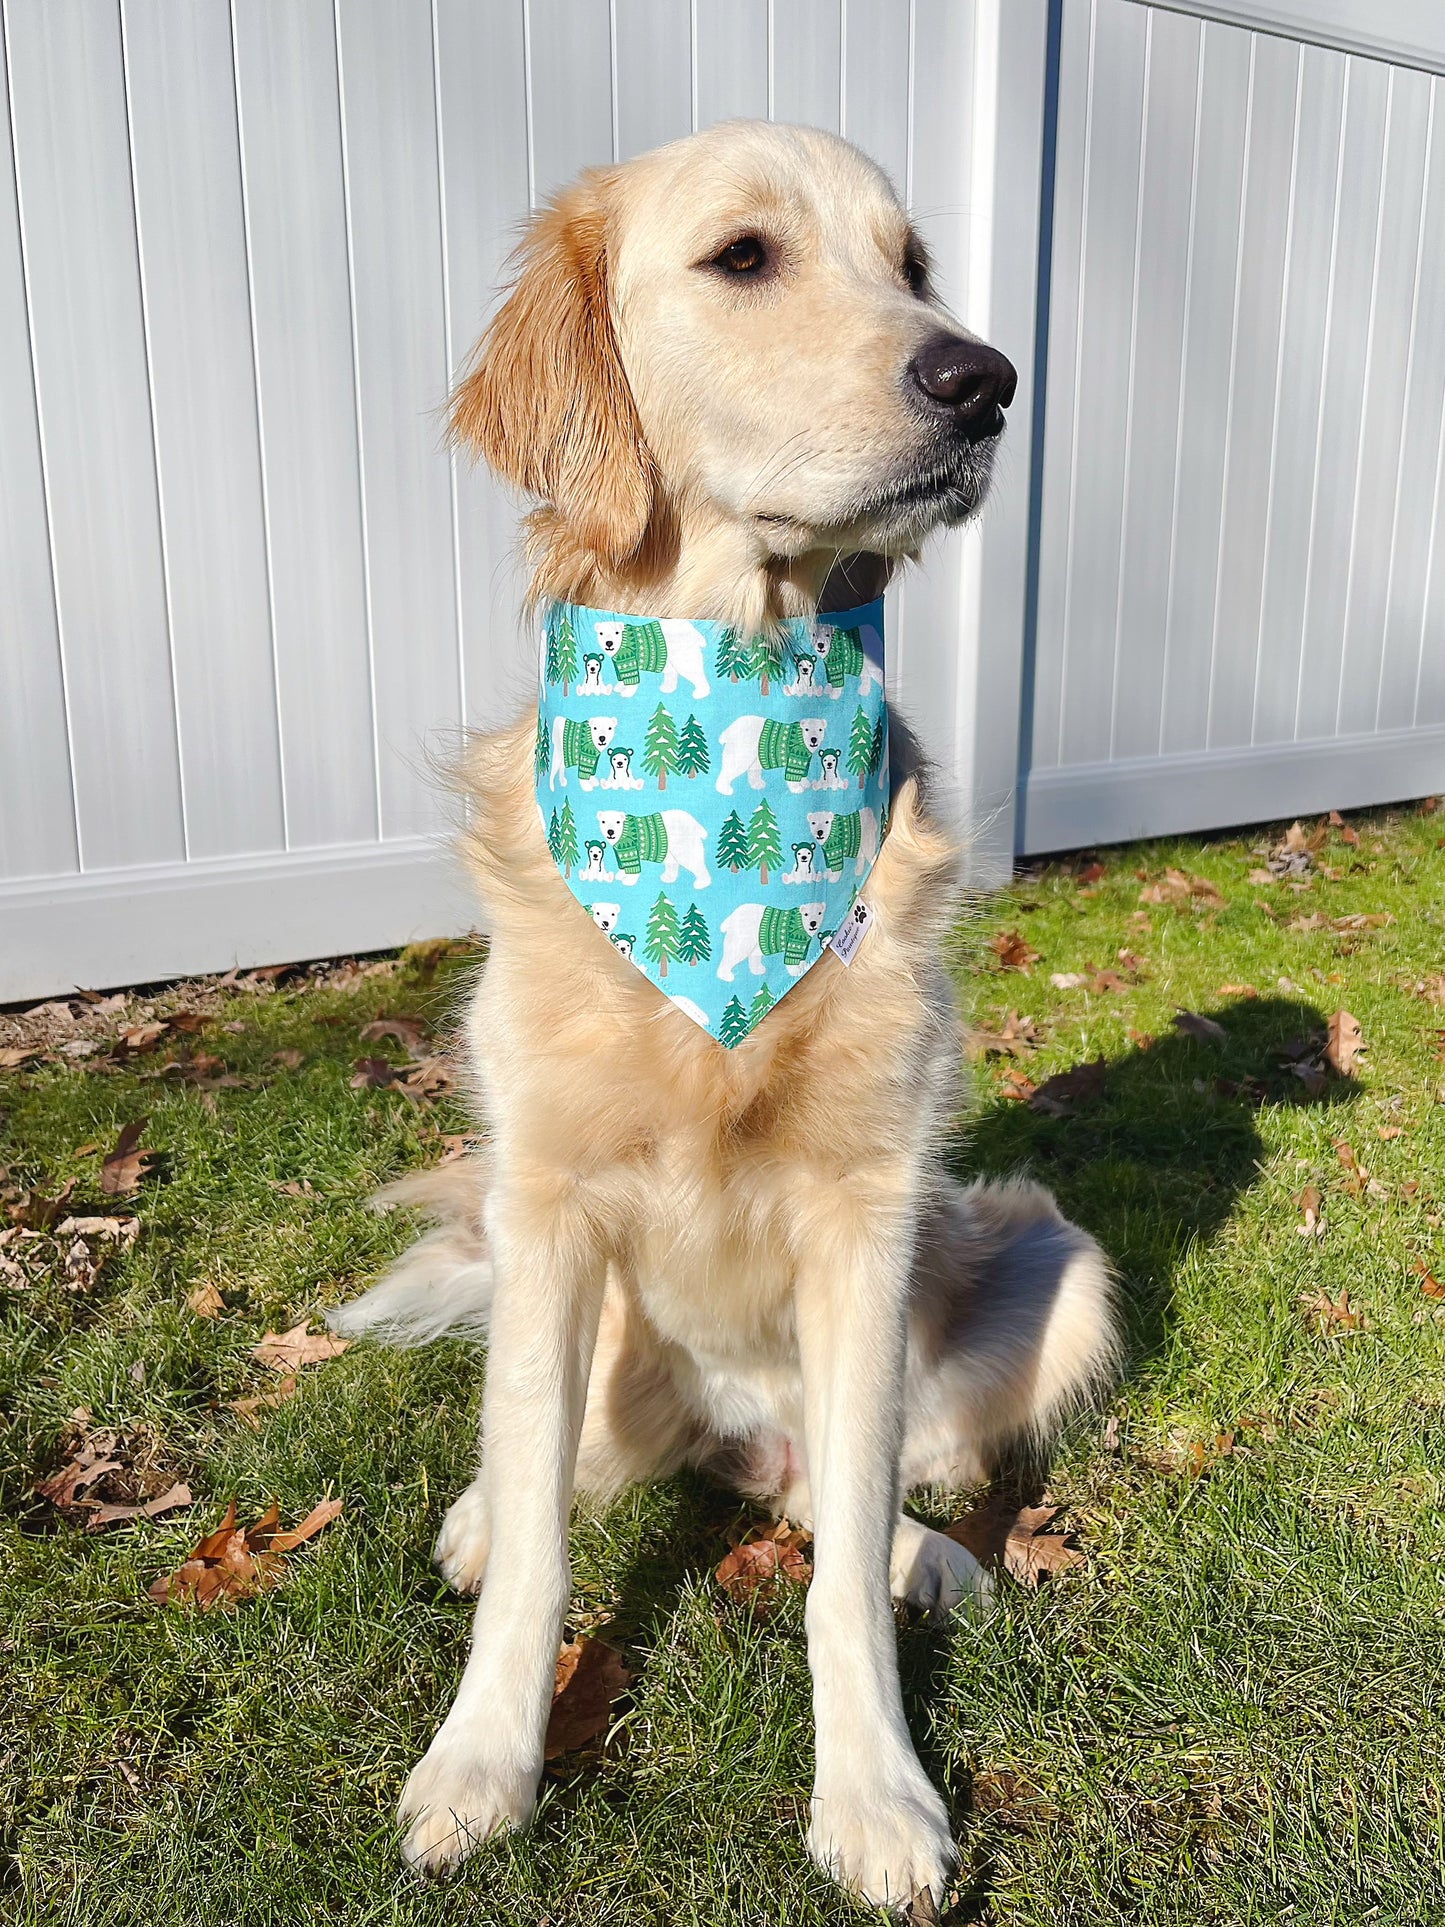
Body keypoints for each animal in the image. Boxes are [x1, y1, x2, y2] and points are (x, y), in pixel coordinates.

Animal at [337, 124, 1117, 1911]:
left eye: (914, 265)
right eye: (744, 258)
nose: (983, 379)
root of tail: (729, 1438)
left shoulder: (870, 1208)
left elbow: (832, 1584)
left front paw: (877, 1792)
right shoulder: (548, 1203)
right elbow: (541, 1552)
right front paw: (481, 1761)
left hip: (1047, 1255)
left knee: (856, 1492)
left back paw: (916, 1549)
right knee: (563, 1470)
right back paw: (487, 1507)